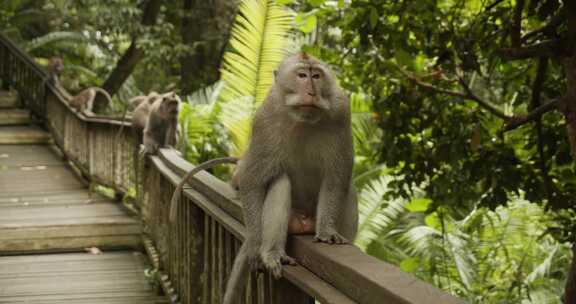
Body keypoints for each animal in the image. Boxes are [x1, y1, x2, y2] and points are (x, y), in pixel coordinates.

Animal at [220, 52, 356, 304]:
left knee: (349, 187)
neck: (303, 118)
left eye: (316, 76)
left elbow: (337, 177)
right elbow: (253, 182)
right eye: (301, 75)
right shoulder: (264, 117)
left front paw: (327, 231)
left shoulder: (342, 110)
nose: (311, 92)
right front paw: (256, 247)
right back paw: (273, 253)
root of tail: (304, 221)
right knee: (280, 180)